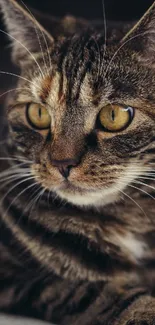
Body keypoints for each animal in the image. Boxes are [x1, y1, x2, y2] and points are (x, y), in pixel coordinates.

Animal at [0, 0, 155, 322]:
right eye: (38, 113)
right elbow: (90, 291)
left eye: (114, 115)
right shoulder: (21, 279)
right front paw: (145, 309)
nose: (63, 163)